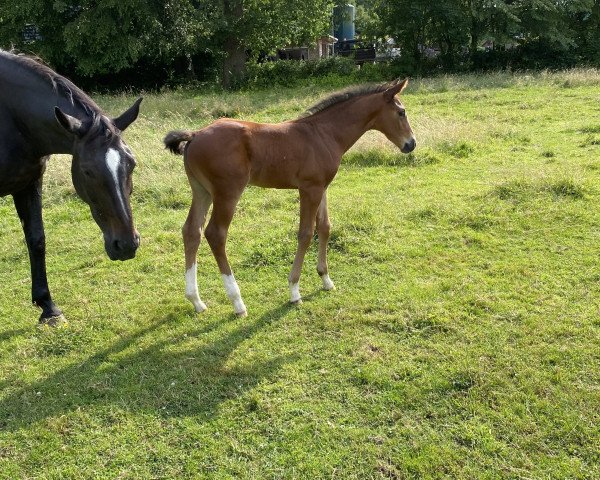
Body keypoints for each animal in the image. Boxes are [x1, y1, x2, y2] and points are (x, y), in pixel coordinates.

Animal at [0, 50, 142, 324]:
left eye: (131, 163)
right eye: (87, 171)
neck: (9, 118)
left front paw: (48, 307)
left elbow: (37, 239)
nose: (127, 245)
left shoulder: (29, 183)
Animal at [166, 79, 414, 316]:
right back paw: (237, 302)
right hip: (227, 192)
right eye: (401, 112)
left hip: (202, 191)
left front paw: (325, 279)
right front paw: (294, 290)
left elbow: (325, 227)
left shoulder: (321, 187)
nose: (411, 144)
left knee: (192, 231)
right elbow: (306, 233)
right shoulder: (309, 189)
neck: (324, 134)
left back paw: (196, 300)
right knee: (215, 234)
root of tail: (195, 135)